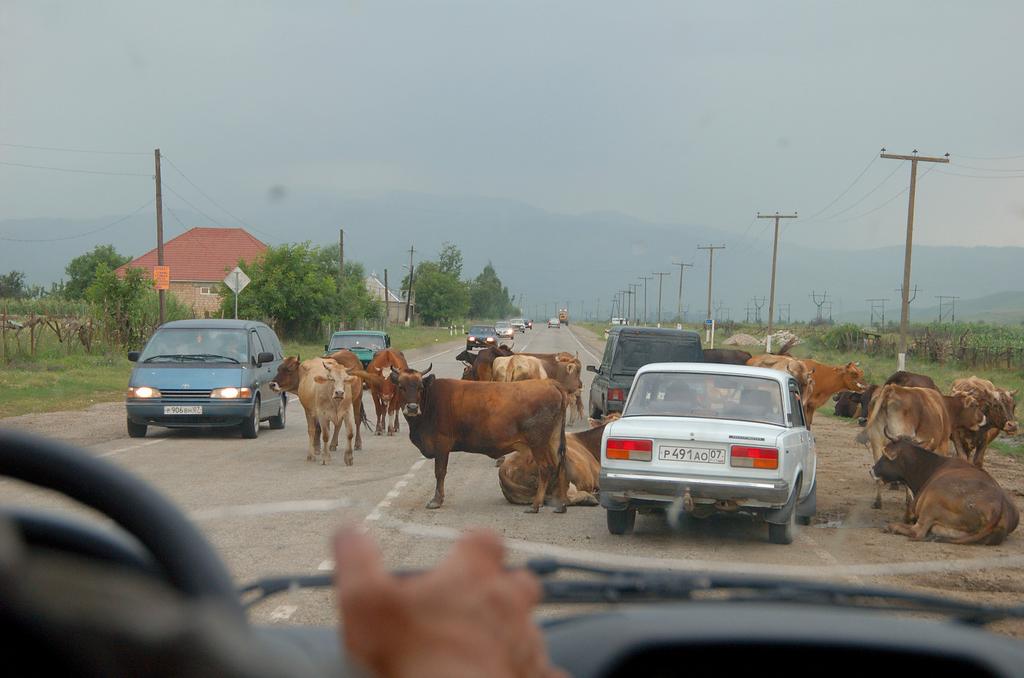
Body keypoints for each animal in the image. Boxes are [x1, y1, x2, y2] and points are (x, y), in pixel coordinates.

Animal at [393, 368, 573, 512]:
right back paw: (561, 504)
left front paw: (436, 500)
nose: (412, 408)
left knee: (545, 468)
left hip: (538, 443)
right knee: (560, 465)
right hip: (553, 441)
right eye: (401, 386)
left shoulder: (442, 445)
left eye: (420, 387)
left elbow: (440, 472)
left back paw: (535, 505)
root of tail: (550, 383)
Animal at [868, 436, 1019, 548]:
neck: (930, 466)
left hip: (932, 501)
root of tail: (999, 506)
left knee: (918, 532)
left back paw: (891, 527)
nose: (871, 470)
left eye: (884, 455)